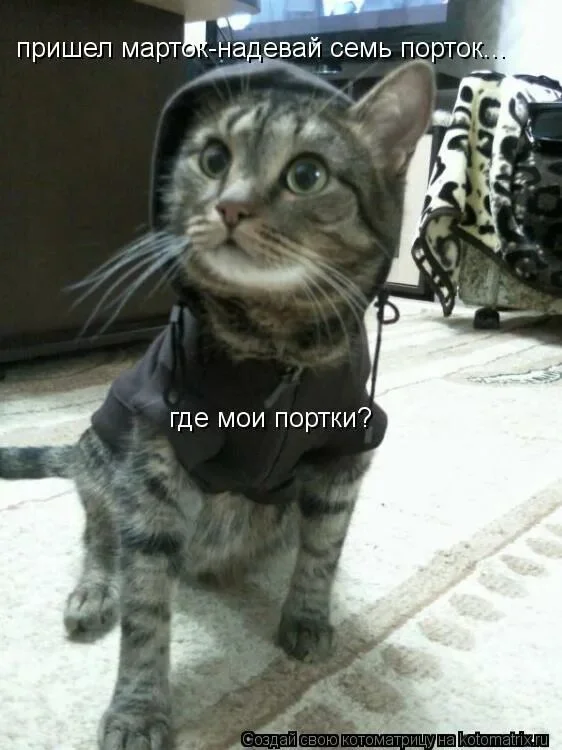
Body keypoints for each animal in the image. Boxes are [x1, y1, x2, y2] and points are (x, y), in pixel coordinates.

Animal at [0, 59, 435, 750]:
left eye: (306, 174)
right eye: (212, 159)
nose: (229, 205)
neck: (273, 344)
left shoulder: (347, 449)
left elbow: (323, 550)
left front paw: (307, 616)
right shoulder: (154, 466)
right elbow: (145, 613)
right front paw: (138, 710)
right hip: (104, 447)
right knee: (98, 532)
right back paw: (94, 592)